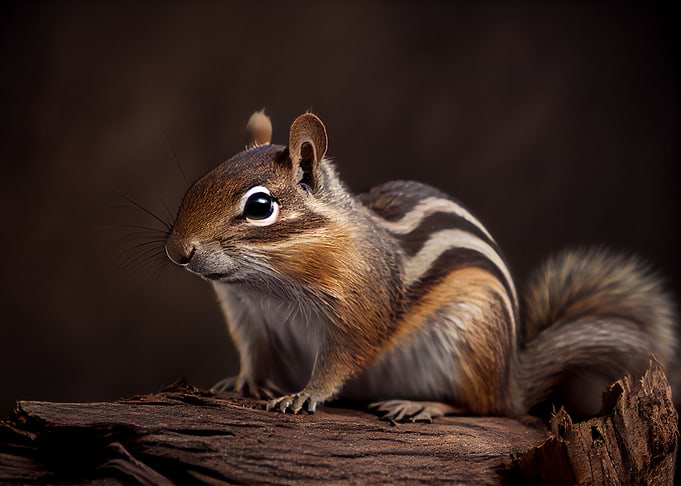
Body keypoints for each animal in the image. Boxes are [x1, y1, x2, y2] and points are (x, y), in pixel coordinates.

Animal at [164, 110, 677, 422]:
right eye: (203, 179)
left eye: (260, 206)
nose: (177, 252)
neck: (266, 284)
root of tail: (510, 377)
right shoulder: (248, 317)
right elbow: (253, 353)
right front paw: (243, 381)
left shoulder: (360, 308)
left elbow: (340, 359)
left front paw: (306, 394)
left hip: (466, 342)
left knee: (481, 407)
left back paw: (422, 405)